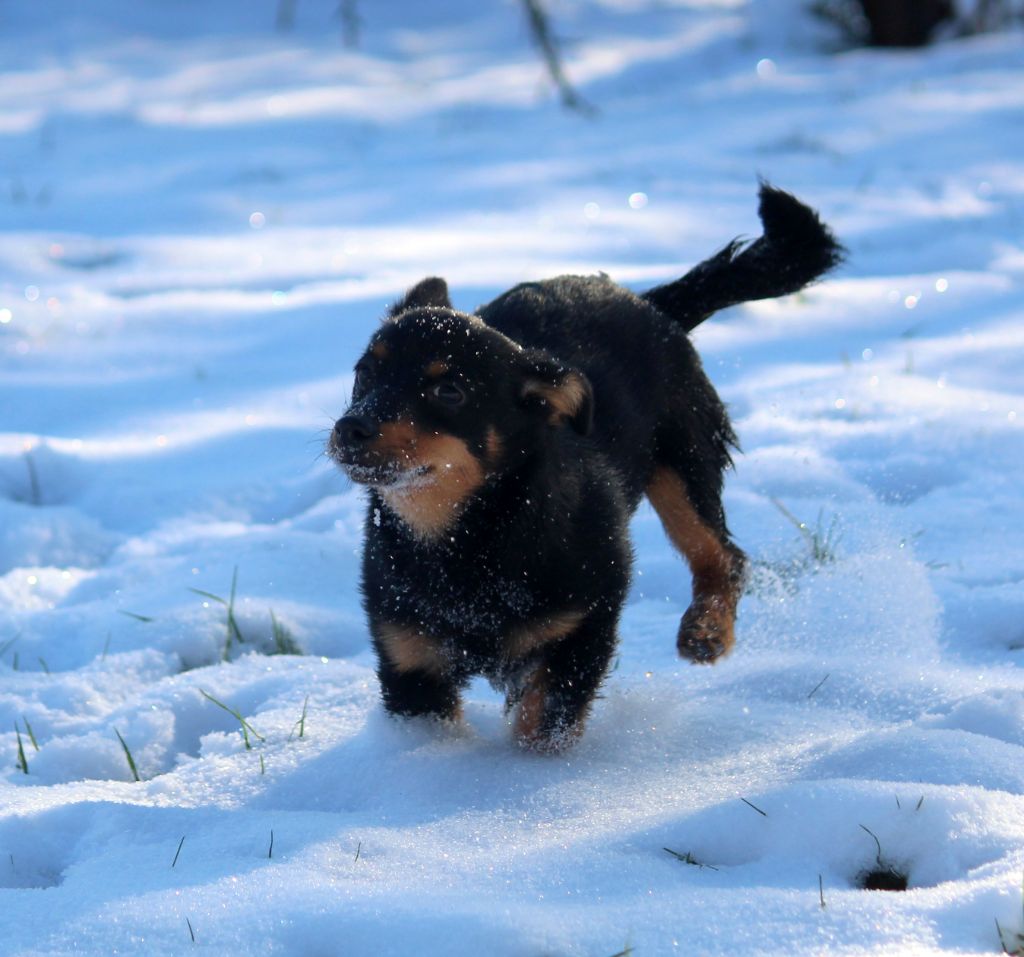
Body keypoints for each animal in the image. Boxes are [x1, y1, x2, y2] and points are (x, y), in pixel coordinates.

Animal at [327, 187, 839, 753]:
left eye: (448, 390)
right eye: (365, 371)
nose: (350, 427)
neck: (468, 539)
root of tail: (649, 304)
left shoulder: (582, 629)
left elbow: (541, 726)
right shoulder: (410, 660)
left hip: (684, 460)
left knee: (720, 552)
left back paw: (705, 632)